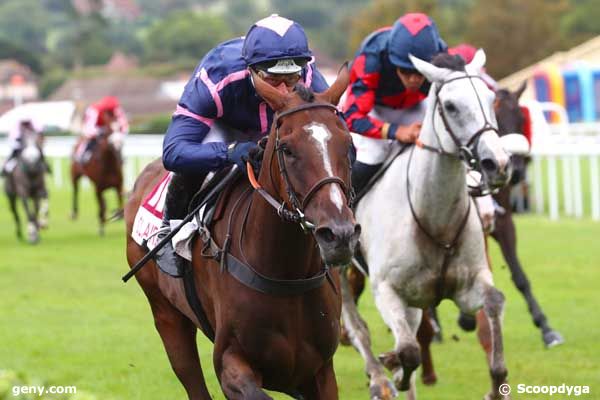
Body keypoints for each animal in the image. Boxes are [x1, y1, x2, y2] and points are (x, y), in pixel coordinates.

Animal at [124, 69, 358, 400]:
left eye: (347, 143)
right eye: (287, 149)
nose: (339, 235)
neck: (287, 273)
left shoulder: (320, 371)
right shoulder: (230, 362)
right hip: (166, 314)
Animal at [342, 51, 510, 400]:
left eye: (491, 99)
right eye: (451, 106)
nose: (497, 164)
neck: (434, 217)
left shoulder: (468, 285)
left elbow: (494, 301)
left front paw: (495, 385)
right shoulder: (386, 290)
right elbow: (408, 351)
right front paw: (394, 369)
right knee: (356, 326)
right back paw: (379, 378)